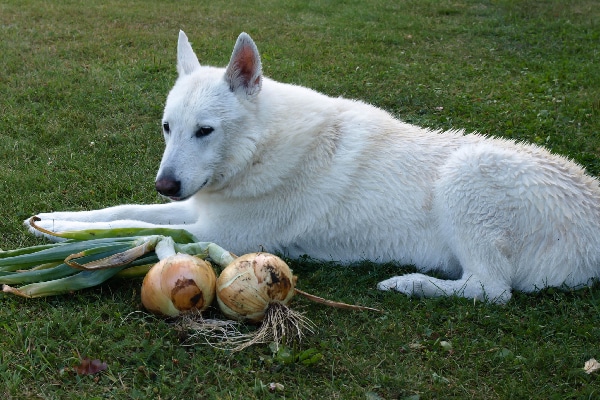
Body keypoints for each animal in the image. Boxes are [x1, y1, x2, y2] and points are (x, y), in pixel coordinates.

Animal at [28, 31, 600, 304]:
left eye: (205, 131)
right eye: (168, 128)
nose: (166, 183)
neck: (260, 148)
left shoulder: (221, 232)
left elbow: (133, 229)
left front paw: (66, 237)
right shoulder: (199, 209)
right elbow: (123, 212)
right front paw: (54, 222)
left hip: (467, 173)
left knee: (492, 291)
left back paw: (408, 284)